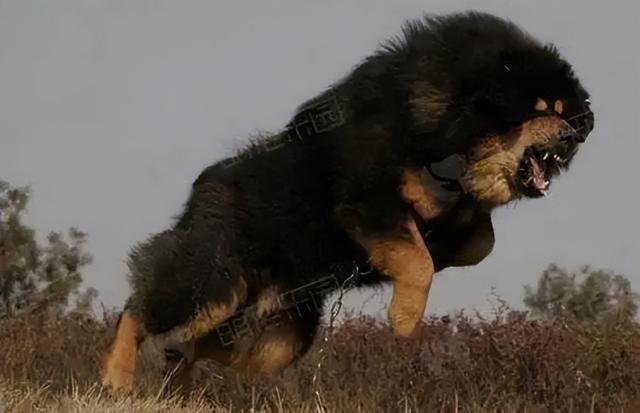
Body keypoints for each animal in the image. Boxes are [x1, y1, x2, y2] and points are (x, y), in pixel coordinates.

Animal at [101, 10, 596, 390]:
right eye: (537, 110)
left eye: (564, 110)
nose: (575, 135)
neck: (439, 126)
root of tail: (205, 187)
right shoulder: (367, 197)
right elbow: (418, 260)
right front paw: (404, 321)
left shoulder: (456, 213)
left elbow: (478, 243)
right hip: (217, 278)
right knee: (140, 309)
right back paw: (117, 379)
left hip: (280, 334)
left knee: (201, 346)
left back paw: (175, 362)